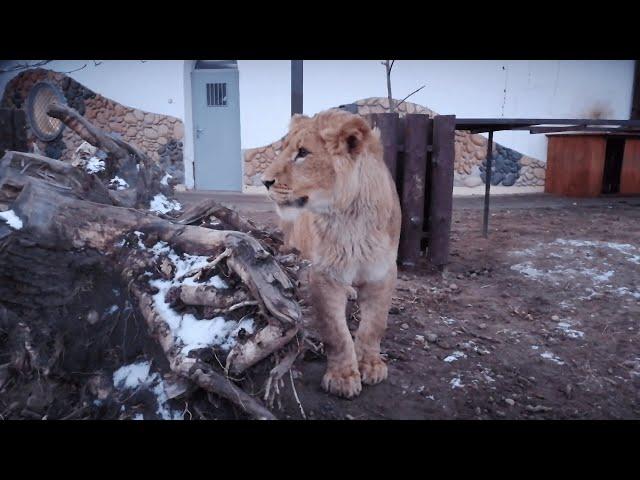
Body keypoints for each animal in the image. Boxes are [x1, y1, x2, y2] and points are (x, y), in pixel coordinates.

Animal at [260, 109, 400, 398]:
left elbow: (374, 325)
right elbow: (336, 332)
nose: (264, 181)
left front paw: (371, 365)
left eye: (303, 152)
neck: (350, 218)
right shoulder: (324, 274)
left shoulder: (382, 272)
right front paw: (342, 377)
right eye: (283, 149)